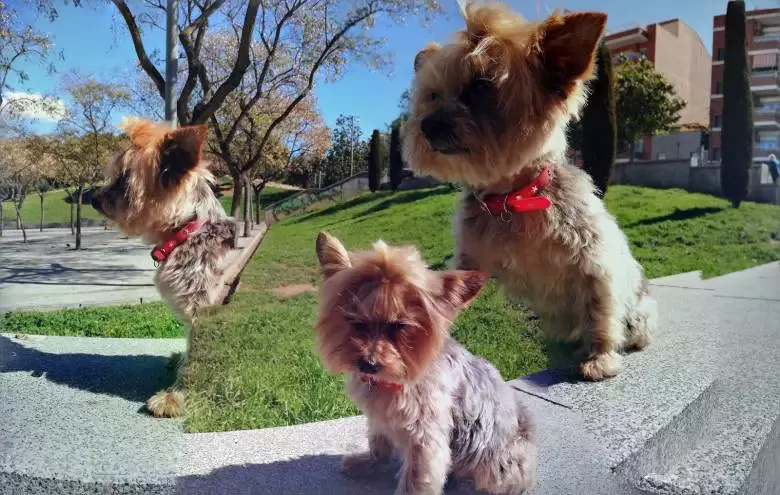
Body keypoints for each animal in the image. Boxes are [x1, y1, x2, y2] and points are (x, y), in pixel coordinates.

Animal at [92, 118, 238, 416]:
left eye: (124, 180)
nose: (92, 197)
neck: (188, 230)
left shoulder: (204, 314)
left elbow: (197, 359)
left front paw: (177, 396)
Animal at [312, 234, 536, 495]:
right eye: (354, 320)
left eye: (400, 326)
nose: (368, 364)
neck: (394, 379)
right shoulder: (378, 417)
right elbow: (378, 443)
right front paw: (367, 463)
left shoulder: (426, 437)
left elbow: (416, 479)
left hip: (497, 462)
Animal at [402, 2, 660, 380]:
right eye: (433, 95)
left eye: (481, 85)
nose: (427, 125)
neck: (511, 198)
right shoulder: (469, 259)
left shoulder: (593, 261)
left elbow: (599, 308)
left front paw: (598, 358)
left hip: (640, 310)